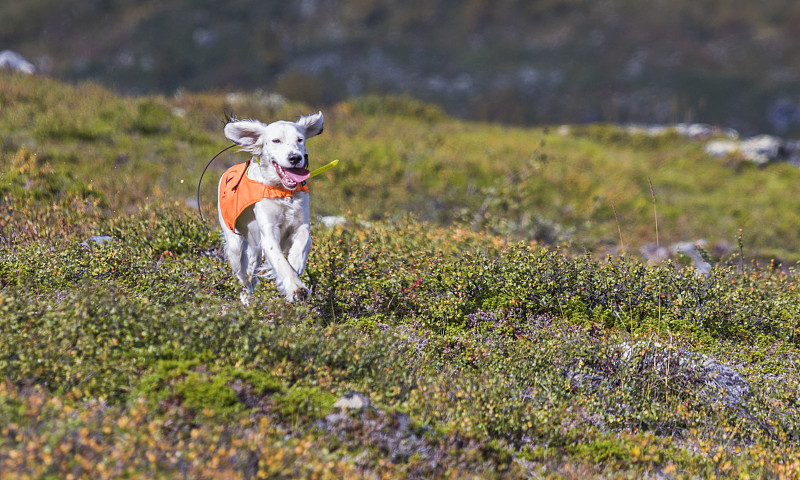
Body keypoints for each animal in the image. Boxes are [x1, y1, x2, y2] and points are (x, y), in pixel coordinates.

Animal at [217, 110, 324, 302]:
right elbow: (281, 263)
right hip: (235, 245)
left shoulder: (301, 223)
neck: (282, 192)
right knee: (242, 279)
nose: (295, 157)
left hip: (254, 249)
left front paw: (296, 261)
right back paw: (245, 299)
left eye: (300, 139)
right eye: (276, 140)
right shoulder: (269, 233)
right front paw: (296, 288)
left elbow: (303, 241)